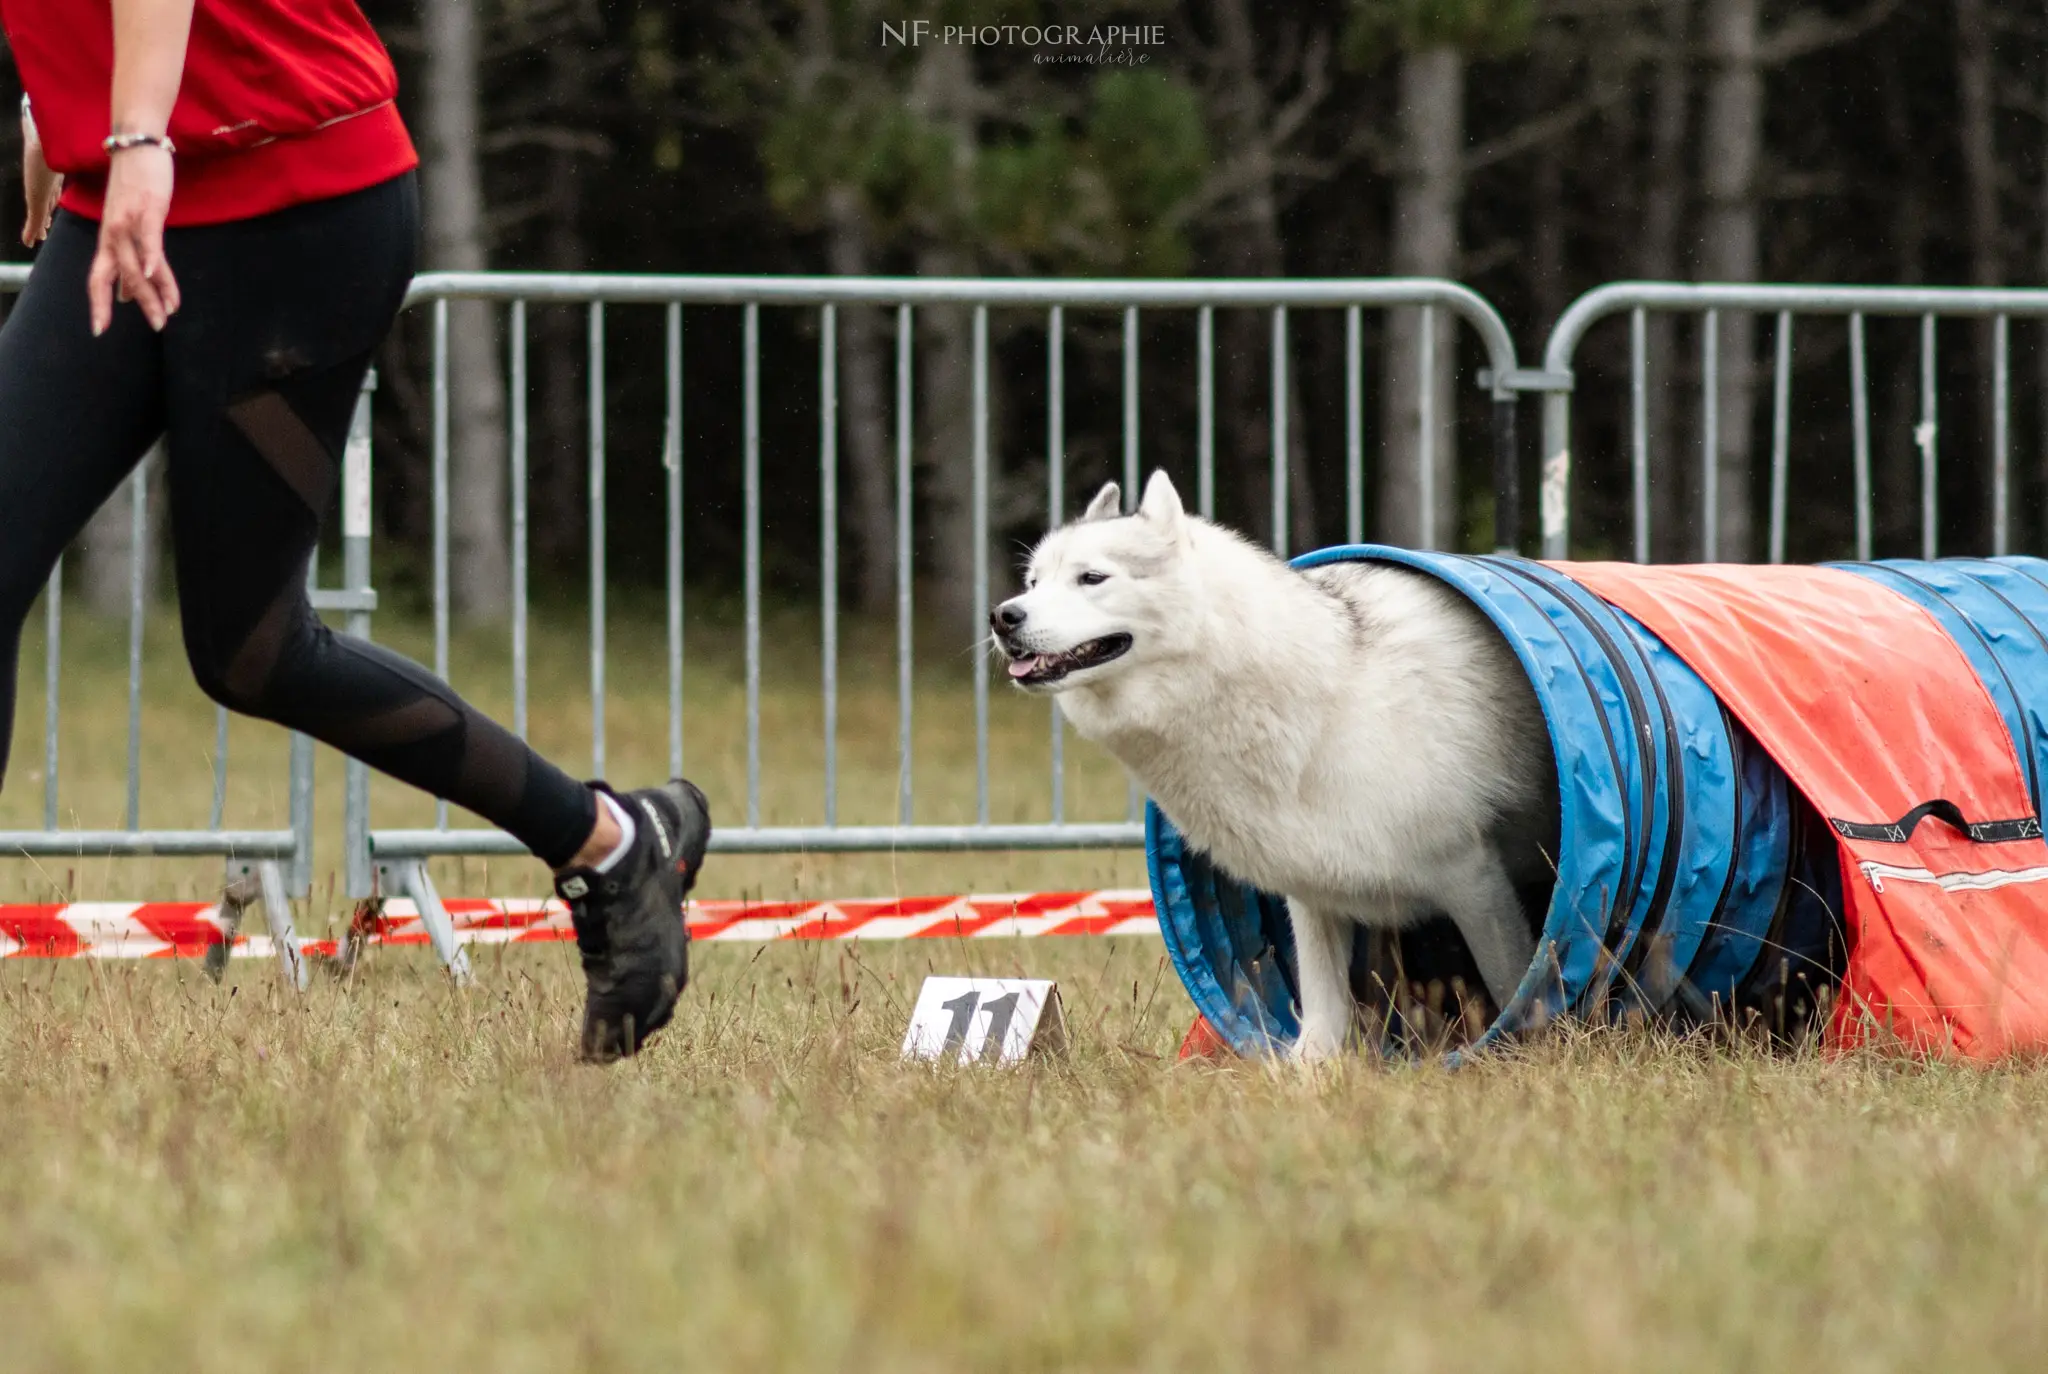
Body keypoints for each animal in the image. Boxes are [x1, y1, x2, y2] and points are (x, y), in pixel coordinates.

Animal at [991, 466, 1548, 1056]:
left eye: (1092, 578)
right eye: (1033, 582)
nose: (1003, 616)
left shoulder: (1475, 880)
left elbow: (1513, 983)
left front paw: (1521, 1044)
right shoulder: (1312, 893)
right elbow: (1324, 1005)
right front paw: (1310, 1067)